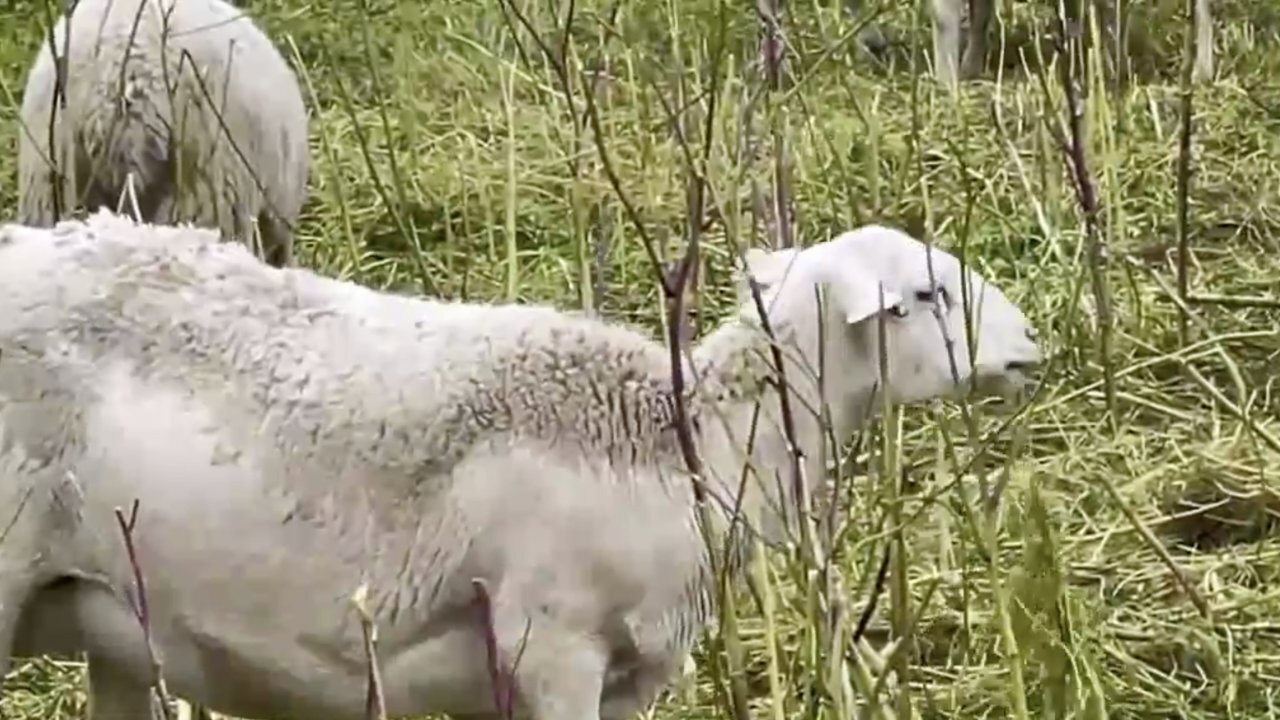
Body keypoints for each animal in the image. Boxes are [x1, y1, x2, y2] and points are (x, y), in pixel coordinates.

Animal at [0, 208, 1039, 717]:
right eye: (928, 293)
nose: (1031, 346)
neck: (684, 436)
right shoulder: (552, 643)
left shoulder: (630, 675)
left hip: (110, 619)